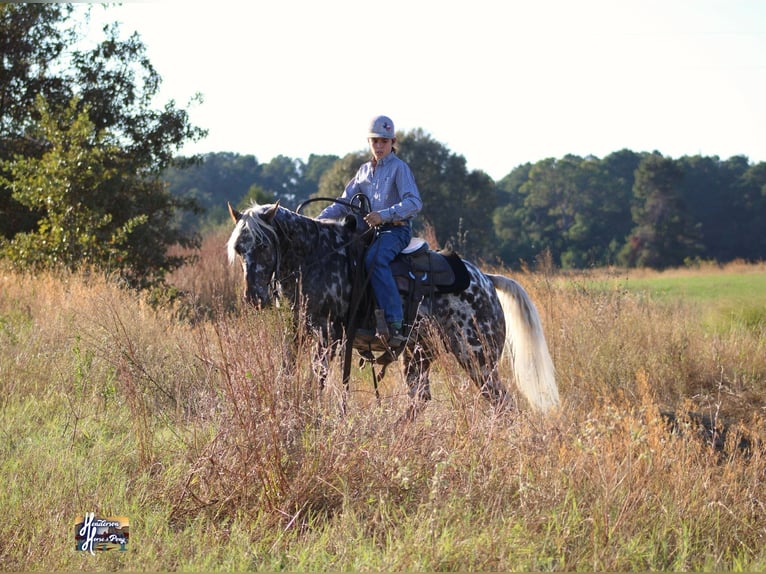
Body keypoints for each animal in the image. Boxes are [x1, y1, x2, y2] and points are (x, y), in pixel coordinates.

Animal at [226, 202, 560, 418]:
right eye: (240, 249)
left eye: (264, 245)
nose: (253, 297)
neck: (317, 256)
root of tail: (487, 281)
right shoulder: (296, 332)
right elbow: (287, 373)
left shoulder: (327, 335)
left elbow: (317, 379)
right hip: (419, 354)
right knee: (420, 397)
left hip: (476, 357)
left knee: (500, 401)